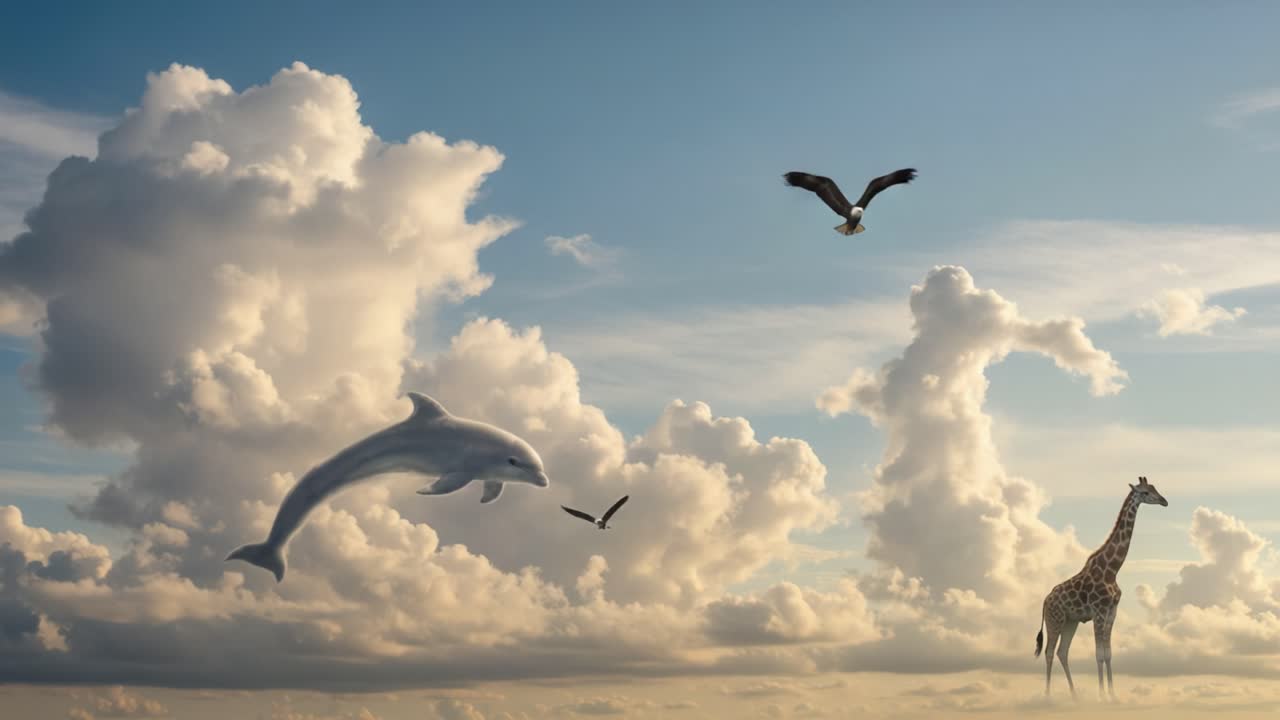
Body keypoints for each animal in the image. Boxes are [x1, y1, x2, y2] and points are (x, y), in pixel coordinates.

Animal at [1034, 476, 1168, 701]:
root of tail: (1044, 601)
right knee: (1049, 652)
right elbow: (1098, 655)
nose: (1164, 501)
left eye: (1154, 488)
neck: (1112, 570)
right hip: (1055, 620)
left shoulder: (1111, 612)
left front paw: (1113, 695)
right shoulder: (1098, 611)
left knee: (1062, 651)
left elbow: (1108, 654)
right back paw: (1047, 696)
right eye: (1145, 492)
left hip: (1071, 622)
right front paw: (1102, 696)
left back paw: (1075, 695)